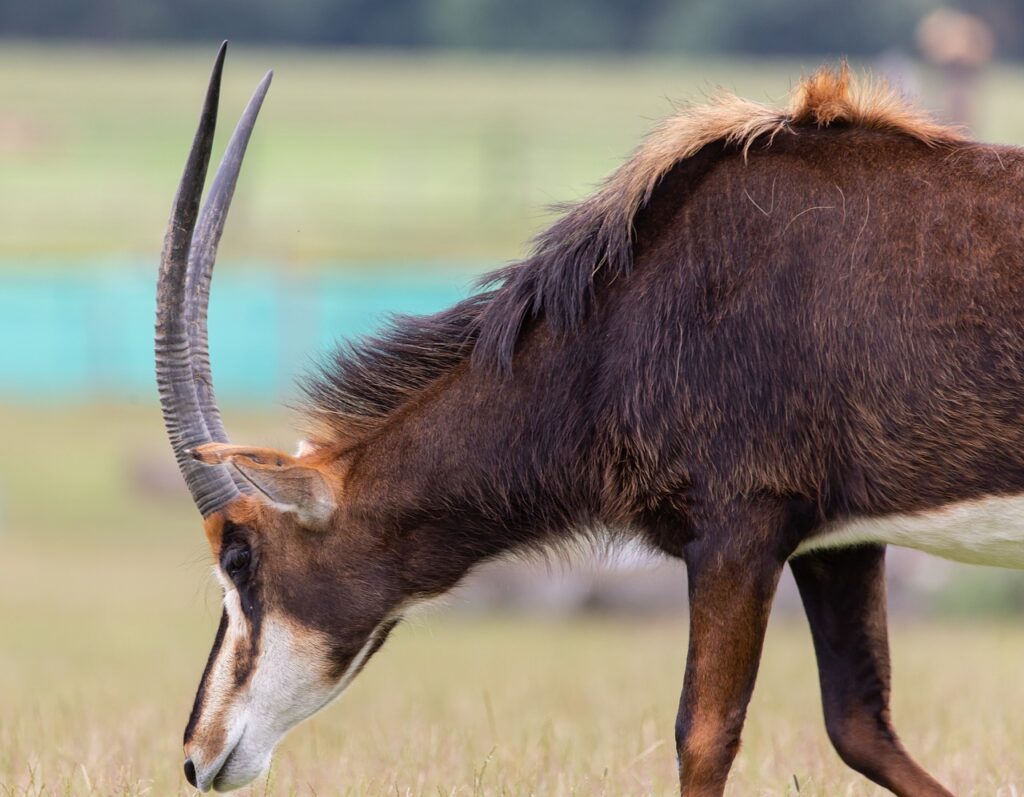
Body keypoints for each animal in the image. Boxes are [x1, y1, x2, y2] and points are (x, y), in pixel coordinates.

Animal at [157, 45, 1024, 794]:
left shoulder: (738, 531)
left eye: (240, 558)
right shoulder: (835, 542)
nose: (197, 754)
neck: (616, 321)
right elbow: (861, 726)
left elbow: (704, 734)